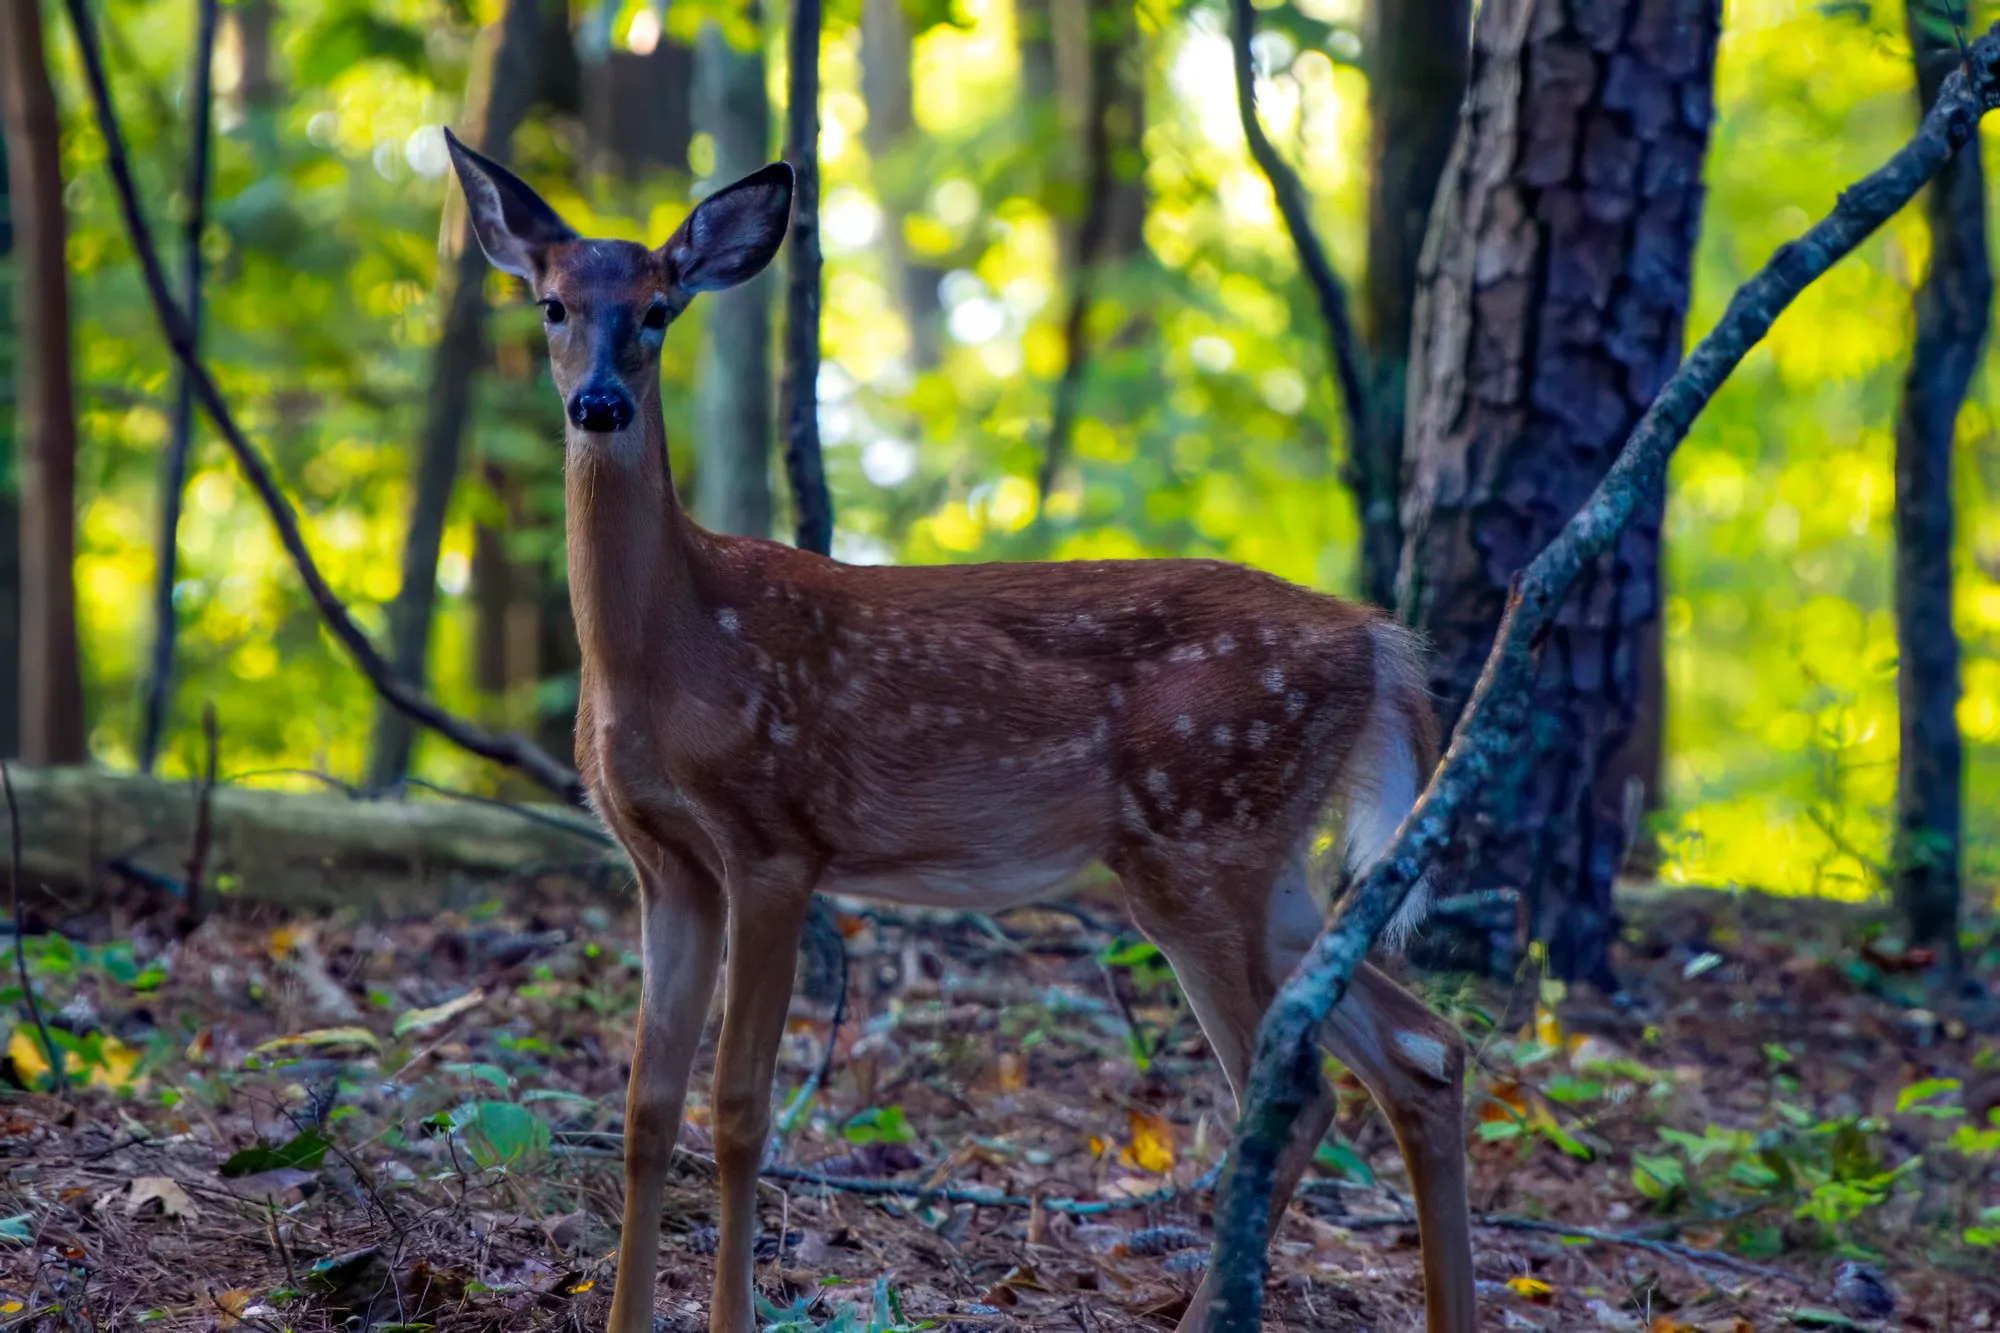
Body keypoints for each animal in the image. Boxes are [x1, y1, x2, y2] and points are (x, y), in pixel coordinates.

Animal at [442, 128, 1475, 1333]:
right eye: (553, 304)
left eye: (657, 309)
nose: (600, 404)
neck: (668, 653)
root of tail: (1378, 640)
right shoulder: (666, 863)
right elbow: (646, 1108)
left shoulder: (775, 840)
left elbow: (740, 1106)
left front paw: (735, 1313)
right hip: (1258, 867)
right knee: (1423, 1049)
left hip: (1203, 841)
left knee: (1298, 1087)